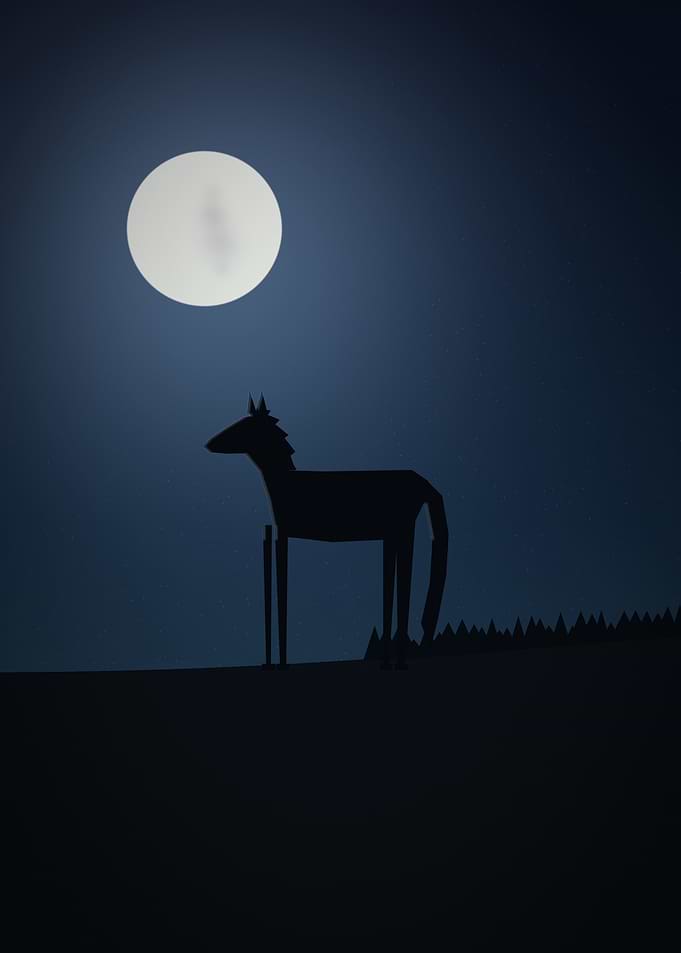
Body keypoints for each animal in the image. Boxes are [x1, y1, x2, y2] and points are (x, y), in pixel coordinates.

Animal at [205, 394, 448, 669]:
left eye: (245, 425)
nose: (209, 444)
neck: (284, 481)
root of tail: (422, 482)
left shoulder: (284, 533)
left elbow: (282, 588)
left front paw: (283, 662)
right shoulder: (278, 534)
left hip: (405, 530)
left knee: (404, 587)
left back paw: (400, 663)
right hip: (393, 534)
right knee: (392, 587)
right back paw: (388, 661)